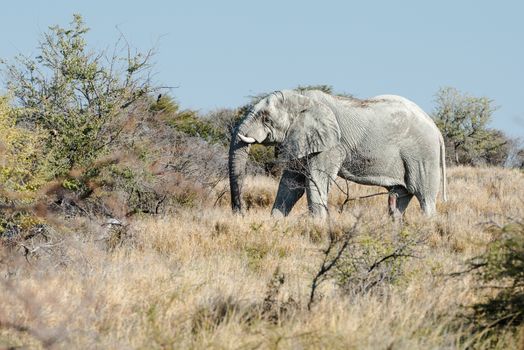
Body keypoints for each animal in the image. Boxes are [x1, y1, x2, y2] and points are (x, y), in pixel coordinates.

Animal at [228, 89, 446, 217]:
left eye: (266, 118)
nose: (240, 214)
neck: (302, 98)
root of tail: (437, 130)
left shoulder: (331, 145)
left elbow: (316, 181)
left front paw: (318, 226)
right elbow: (290, 184)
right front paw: (276, 222)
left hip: (423, 155)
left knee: (424, 197)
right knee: (400, 197)